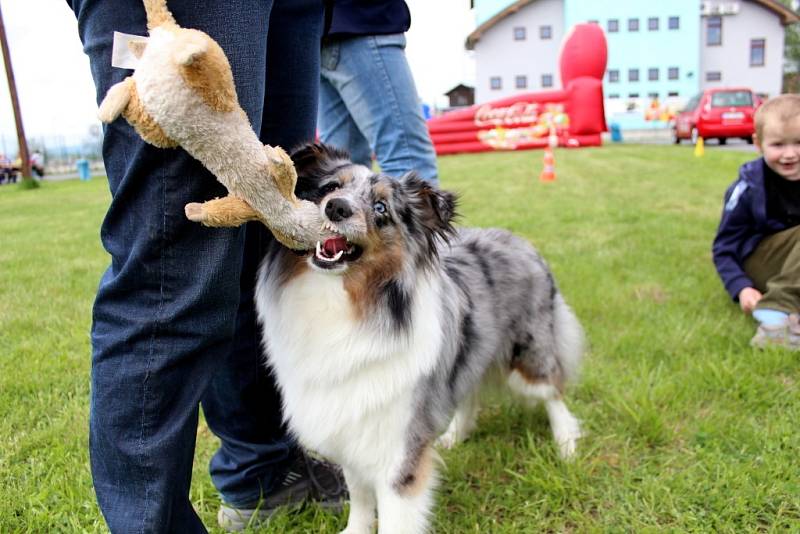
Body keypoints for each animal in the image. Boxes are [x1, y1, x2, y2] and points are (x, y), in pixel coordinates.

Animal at [258, 143, 588, 534]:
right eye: (330, 187)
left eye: (381, 208)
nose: (336, 207)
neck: (345, 300)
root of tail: (518, 239)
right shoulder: (351, 431)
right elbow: (360, 498)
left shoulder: (398, 447)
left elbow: (394, 518)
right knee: (469, 392)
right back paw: (455, 435)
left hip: (529, 353)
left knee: (553, 392)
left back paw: (566, 443)